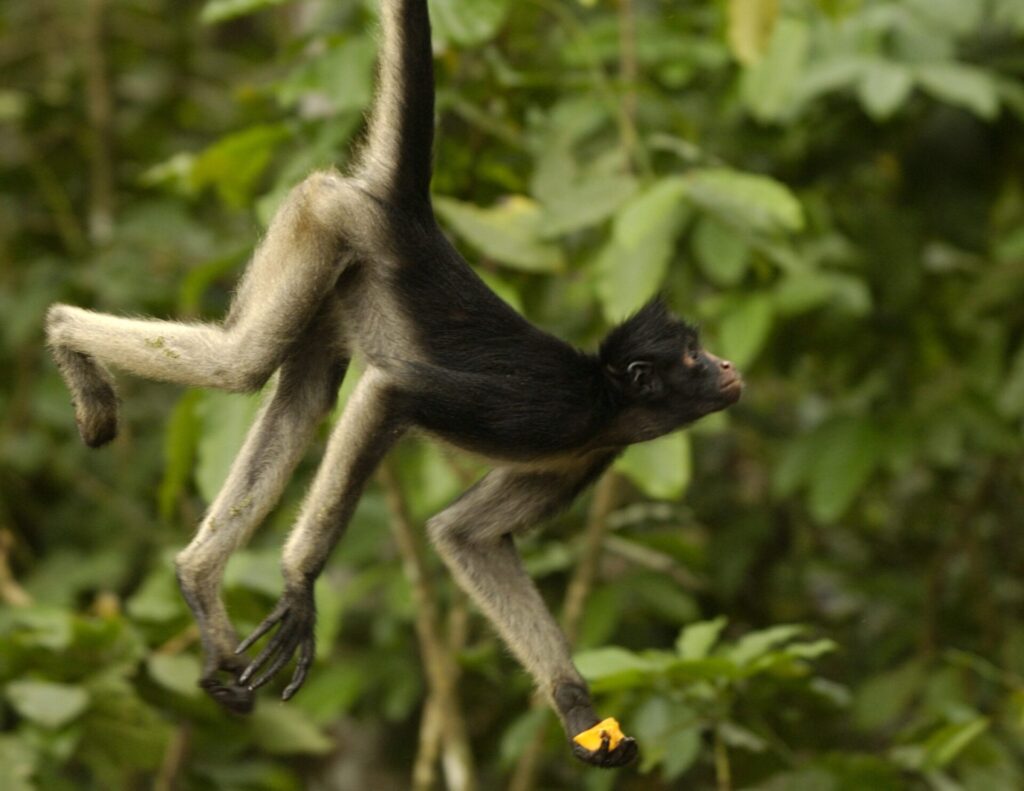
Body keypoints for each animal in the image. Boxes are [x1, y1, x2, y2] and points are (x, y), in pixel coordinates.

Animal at [48, 0, 741, 770]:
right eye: (693, 357)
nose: (728, 368)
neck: (610, 400)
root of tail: (407, 217)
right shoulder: (555, 412)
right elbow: (392, 395)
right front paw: (299, 586)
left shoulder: (587, 449)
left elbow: (465, 535)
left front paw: (578, 713)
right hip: (323, 217)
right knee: (242, 365)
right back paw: (63, 332)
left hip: (333, 260)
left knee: (304, 394)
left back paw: (198, 579)